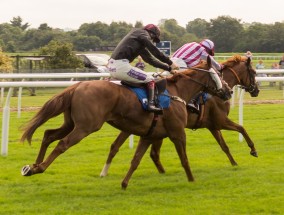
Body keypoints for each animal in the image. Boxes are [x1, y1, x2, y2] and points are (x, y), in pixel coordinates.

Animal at [21, 58, 232, 188]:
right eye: (218, 74)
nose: (228, 91)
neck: (177, 92)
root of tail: (78, 86)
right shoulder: (178, 133)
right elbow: (184, 159)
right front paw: (192, 180)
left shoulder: (150, 134)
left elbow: (136, 159)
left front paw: (124, 183)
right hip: (85, 126)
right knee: (62, 144)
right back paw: (39, 167)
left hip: (71, 123)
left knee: (48, 135)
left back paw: (33, 166)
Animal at [100, 54, 260, 177]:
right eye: (253, 72)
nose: (256, 90)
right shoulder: (220, 121)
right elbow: (241, 128)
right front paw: (253, 150)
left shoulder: (212, 125)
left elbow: (224, 145)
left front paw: (234, 163)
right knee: (152, 153)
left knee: (117, 146)